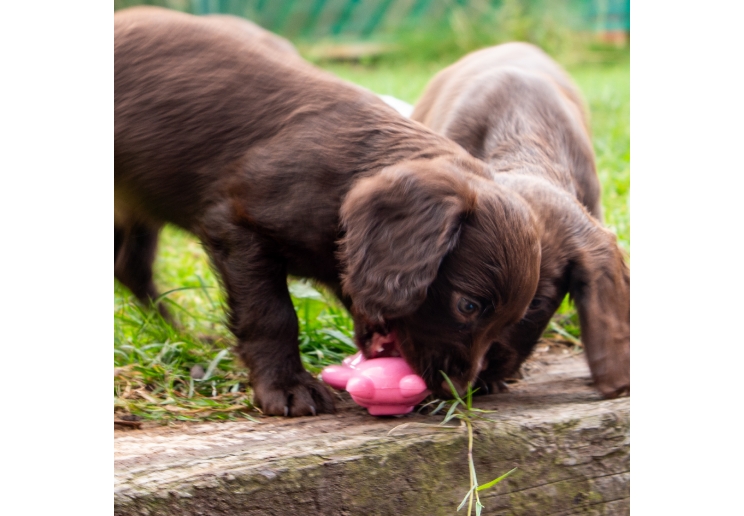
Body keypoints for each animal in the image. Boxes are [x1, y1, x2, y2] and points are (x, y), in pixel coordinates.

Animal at [115, 8, 540, 416]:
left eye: (509, 321)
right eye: (468, 306)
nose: (457, 391)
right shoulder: (237, 227)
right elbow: (271, 315)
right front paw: (287, 386)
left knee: (130, 267)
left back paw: (177, 333)